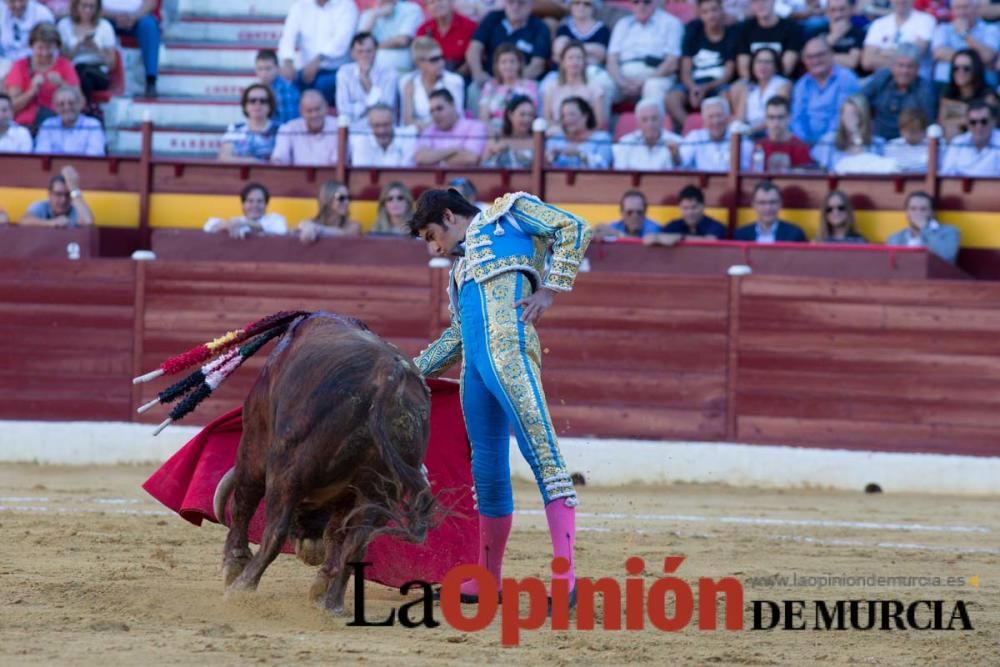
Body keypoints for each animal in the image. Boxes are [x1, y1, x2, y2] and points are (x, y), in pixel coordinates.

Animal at [215, 314, 434, 616]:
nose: (311, 552)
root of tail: (388, 376)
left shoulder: (255, 445)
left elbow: (243, 505)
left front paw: (233, 566)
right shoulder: (347, 494)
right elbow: (336, 534)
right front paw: (321, 584)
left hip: (286, 471)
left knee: (273, 531)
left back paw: (241, 588)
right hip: (380, 492)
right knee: (358, 544)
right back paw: (332, 604)